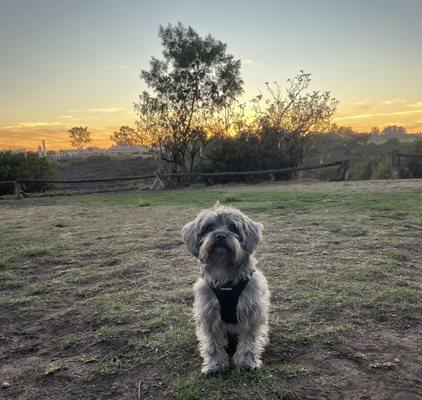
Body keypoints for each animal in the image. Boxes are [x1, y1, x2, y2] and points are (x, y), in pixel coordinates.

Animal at [180, 203, 268, 376]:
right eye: (208, 228)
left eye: (233, 227)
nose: (220, 235)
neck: (224, 274)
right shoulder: (209, 314)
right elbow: (212, 343)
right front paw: (215, 364)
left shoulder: (250, 313)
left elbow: (249, 341)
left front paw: (247, 362)